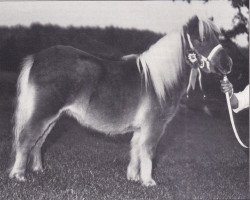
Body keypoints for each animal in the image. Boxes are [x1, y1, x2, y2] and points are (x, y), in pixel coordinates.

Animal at [9, 15, 232, 186]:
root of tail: (37, 58)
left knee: (39, 141)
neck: (159, 79)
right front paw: (148, 182)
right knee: (27, 137)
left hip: (52, 117)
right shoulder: (155, 125)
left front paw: (133, 177)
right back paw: (19, 175)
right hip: (44, 112)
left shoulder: (141, 128)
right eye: (202, 39)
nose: (227, 63)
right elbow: (148, 151)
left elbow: (136, 150)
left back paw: (38, 170)